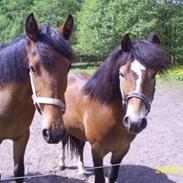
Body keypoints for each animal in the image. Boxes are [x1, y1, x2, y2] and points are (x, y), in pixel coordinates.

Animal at [59, 33, 170, 182]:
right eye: (122, 74)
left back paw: (81, 169)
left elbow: (112, 176)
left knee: (80, 145)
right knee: (64, 142)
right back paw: (61, 163)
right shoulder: (97, 151)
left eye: (153, 74)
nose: (135, 122)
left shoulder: (121, 151)